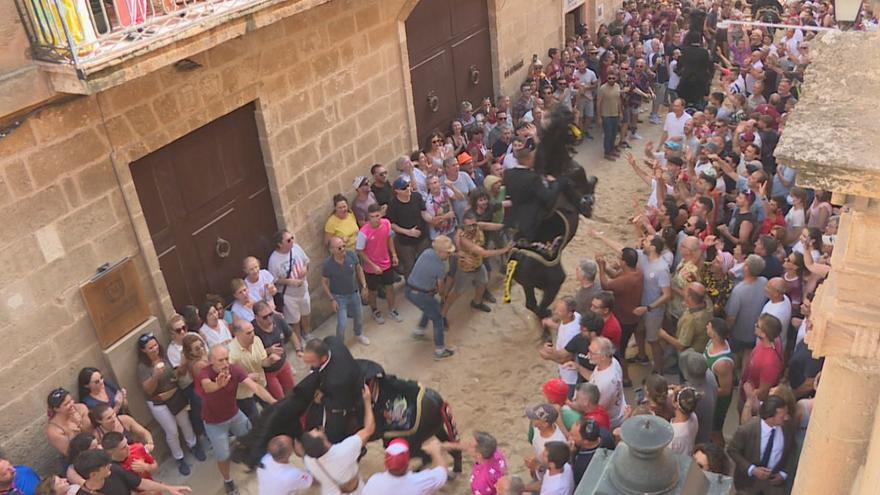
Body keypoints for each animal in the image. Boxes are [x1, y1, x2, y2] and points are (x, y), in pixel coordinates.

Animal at [230, 362, 464, 474]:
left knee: (425, 456)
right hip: (439, 430)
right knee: (453, 449)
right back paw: (455, 470)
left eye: (244, 450)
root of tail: (436, 400)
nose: (238, 460)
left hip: (405, 441)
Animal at [508, 106, 600, 320]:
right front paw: (588, 199)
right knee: (540, 306)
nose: (580, 137)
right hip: (554, 282)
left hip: (528, 285)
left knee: (531, 305)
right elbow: (589, 187)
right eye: (570, 123)